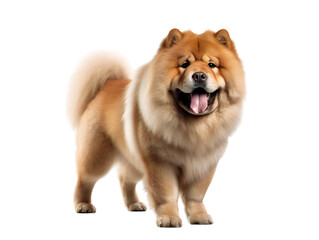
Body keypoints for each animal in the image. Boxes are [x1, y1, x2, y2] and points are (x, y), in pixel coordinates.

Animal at [67, 28, 246, 227]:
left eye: (212, 65)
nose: (199, 75)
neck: (195, 127)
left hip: (133, 161)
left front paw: (199, 216)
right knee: (84, 180)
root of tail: (106, 85)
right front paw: (168, 218)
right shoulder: (160, 163)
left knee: (125, 180)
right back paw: (83, 205)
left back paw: (134, 204)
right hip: (97, 156)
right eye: (184, 64)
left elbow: (195, 195)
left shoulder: (204, 165)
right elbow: (166, 194)